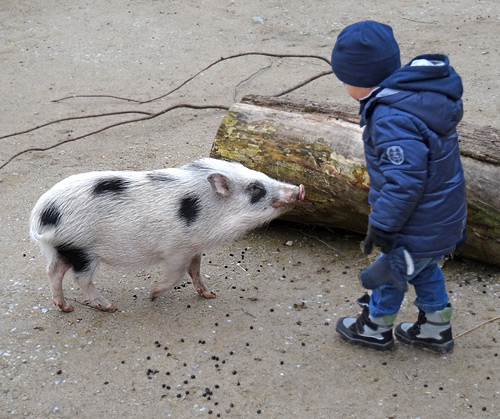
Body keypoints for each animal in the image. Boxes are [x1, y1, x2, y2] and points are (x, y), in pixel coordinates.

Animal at [31, 159, 304, 314]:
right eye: (255, 188)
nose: (300, 189)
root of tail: (42, 214)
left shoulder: (194, 247)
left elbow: (195, 270)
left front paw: (209, 295)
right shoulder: (176, 249)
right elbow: (177, 275)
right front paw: (152, 295)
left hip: (63, 248)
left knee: (53, 271)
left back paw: (65, 308)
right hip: (82, 249)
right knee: (81, 278)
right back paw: (110, 307)